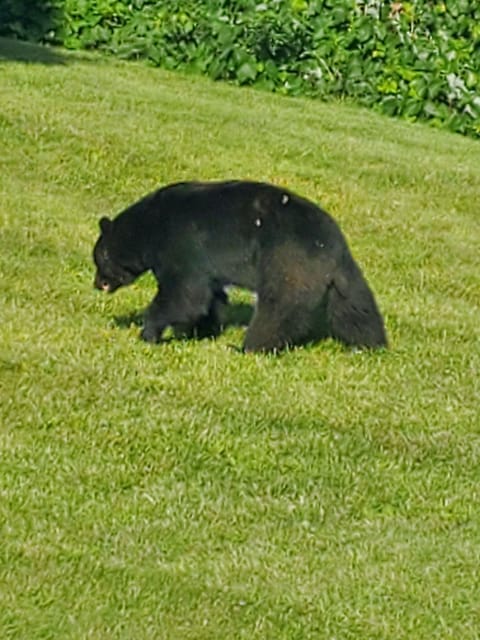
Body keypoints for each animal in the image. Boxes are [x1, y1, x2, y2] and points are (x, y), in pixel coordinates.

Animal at [93, 180, 387, 352]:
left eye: (99, 258)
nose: (97, 284)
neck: (147, 228)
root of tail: (330, 244)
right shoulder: (205, 266)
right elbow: (208, 296)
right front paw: (203, 330)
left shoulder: (182, 244)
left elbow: (184, 294)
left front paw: (148, 333)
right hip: (343, 276)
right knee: (356, 307)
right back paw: (370, 345)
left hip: (288, 261)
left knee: (278, 308)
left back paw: (250, 346)